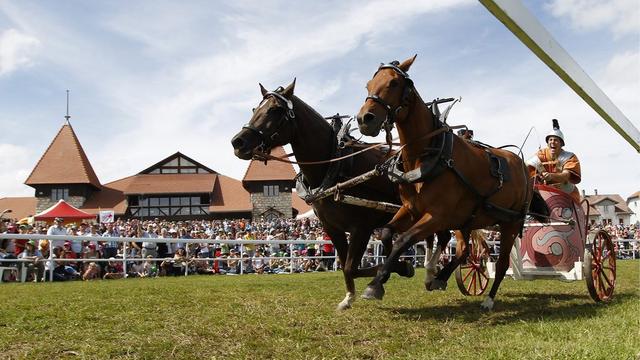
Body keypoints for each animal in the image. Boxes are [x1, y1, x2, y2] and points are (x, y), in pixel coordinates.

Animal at [231, 81, 450, 310]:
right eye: (255, 109)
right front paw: (349, 297)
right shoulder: (333, 229)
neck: (335, 166)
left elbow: (351, 267)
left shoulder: (361, 228)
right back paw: (431, 272)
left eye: (275, 109)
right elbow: (346, 266)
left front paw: (401, 268)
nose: (238, 142)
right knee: (438, 237)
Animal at [356, 55, 544, 310]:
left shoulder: (437, 215)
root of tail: (524, 167)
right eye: (368, 85)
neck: (428, 154)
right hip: (467, 220)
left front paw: (375, 284)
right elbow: (386, 233)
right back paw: (440, 277)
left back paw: (488, 299)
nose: (365, 119)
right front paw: (394, 271)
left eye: (394, 83)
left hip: (510, 224)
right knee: (464, 252)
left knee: (502, 263)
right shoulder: (412, 209)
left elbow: (403, 240)